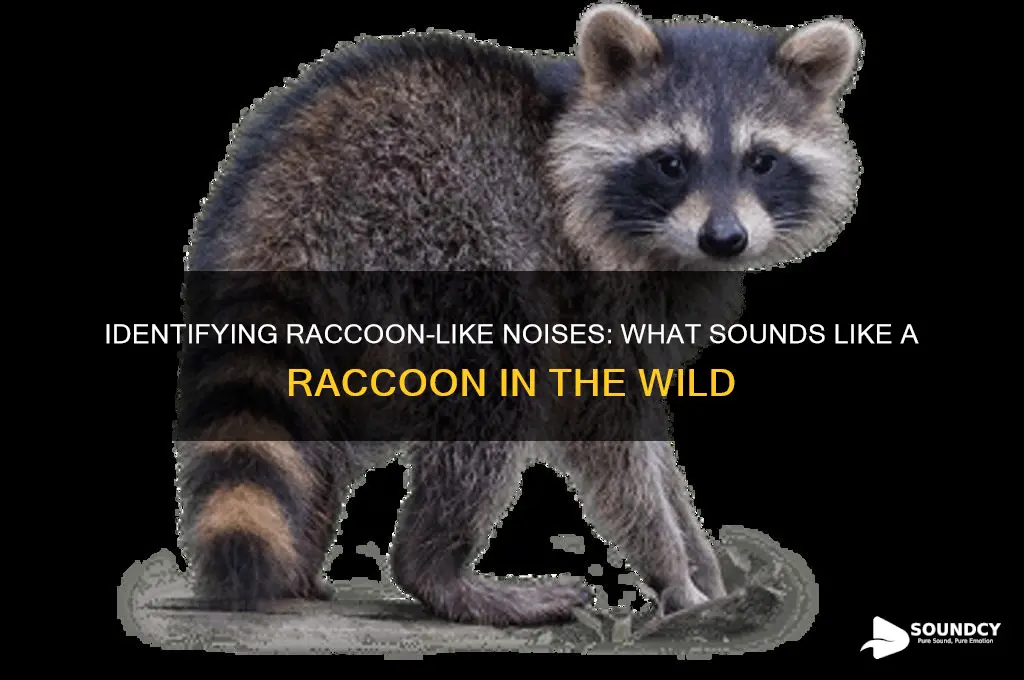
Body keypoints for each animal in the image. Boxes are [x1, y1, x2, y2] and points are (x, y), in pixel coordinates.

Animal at [176, 3, 861, 626]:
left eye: (761, 160)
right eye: (671, 163)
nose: (725, 239)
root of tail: (293, 188)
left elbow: (650, 437)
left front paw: (701, 564)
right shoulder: (590, 288)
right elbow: (605, 430)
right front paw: (672, 568)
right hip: (428, 240)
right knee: (497, 382)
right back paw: (435, 568)